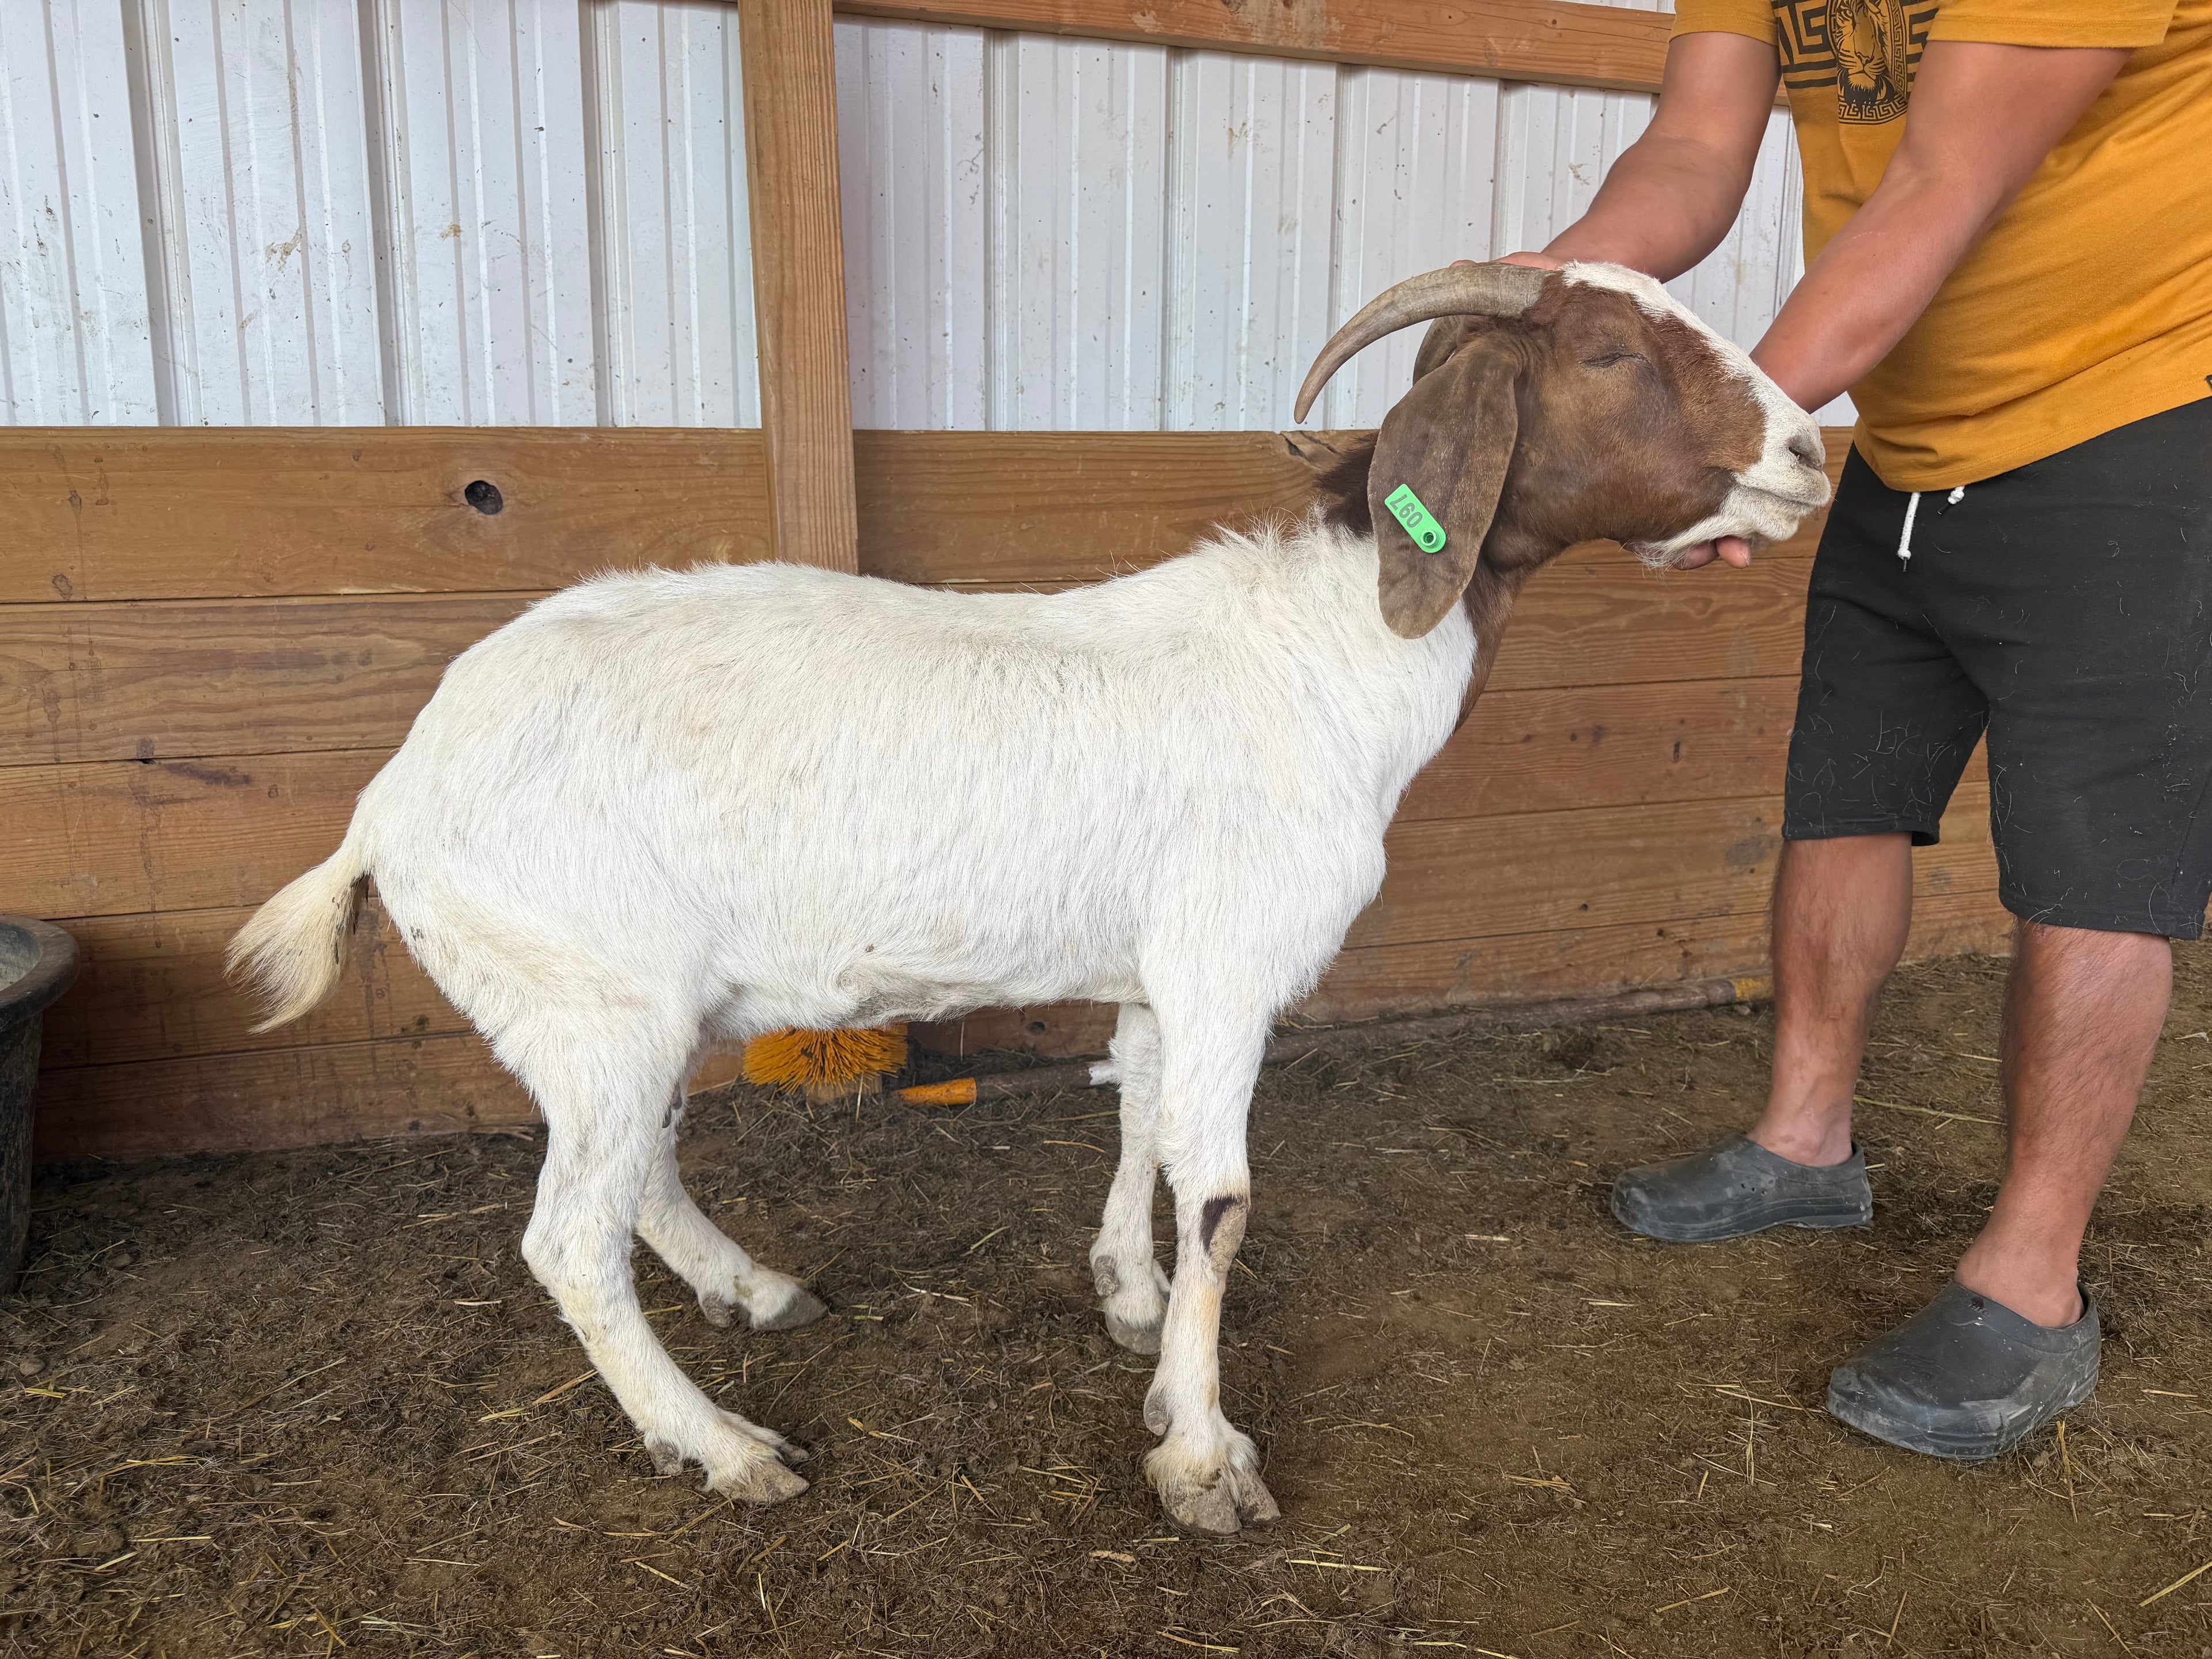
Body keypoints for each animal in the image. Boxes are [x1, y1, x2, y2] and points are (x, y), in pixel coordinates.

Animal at [230, 262, 1830, 1535]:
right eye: (1609, 353)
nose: (1814, 453)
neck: (1323, 660)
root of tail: (386, 803)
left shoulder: (1155, 965)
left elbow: (1139, 1117)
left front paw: (1130, 1308)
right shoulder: (1230, 953)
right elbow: (1223, 1195)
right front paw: (1207, 1460)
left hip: (613, 1011)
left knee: (638, 1181)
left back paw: (755, 1292)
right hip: (593, 993)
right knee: (570, 1236)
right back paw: (726, 1446)